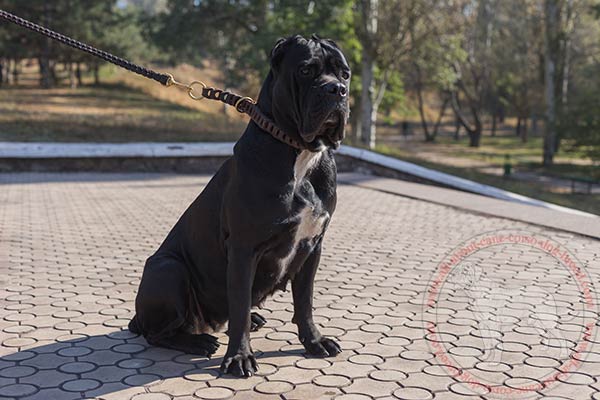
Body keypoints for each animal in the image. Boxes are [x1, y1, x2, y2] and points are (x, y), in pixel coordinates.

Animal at [129, 35, 350, 378]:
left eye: (345, 74)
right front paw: (239, 357)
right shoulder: (245, 249)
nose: (336, 89)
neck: (299, 152)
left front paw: (314, 341)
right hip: (168, 268)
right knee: (159, 332)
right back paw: (199, 342)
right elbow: (241, 308)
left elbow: (304, 301)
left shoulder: (313, 246)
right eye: (305, 70)